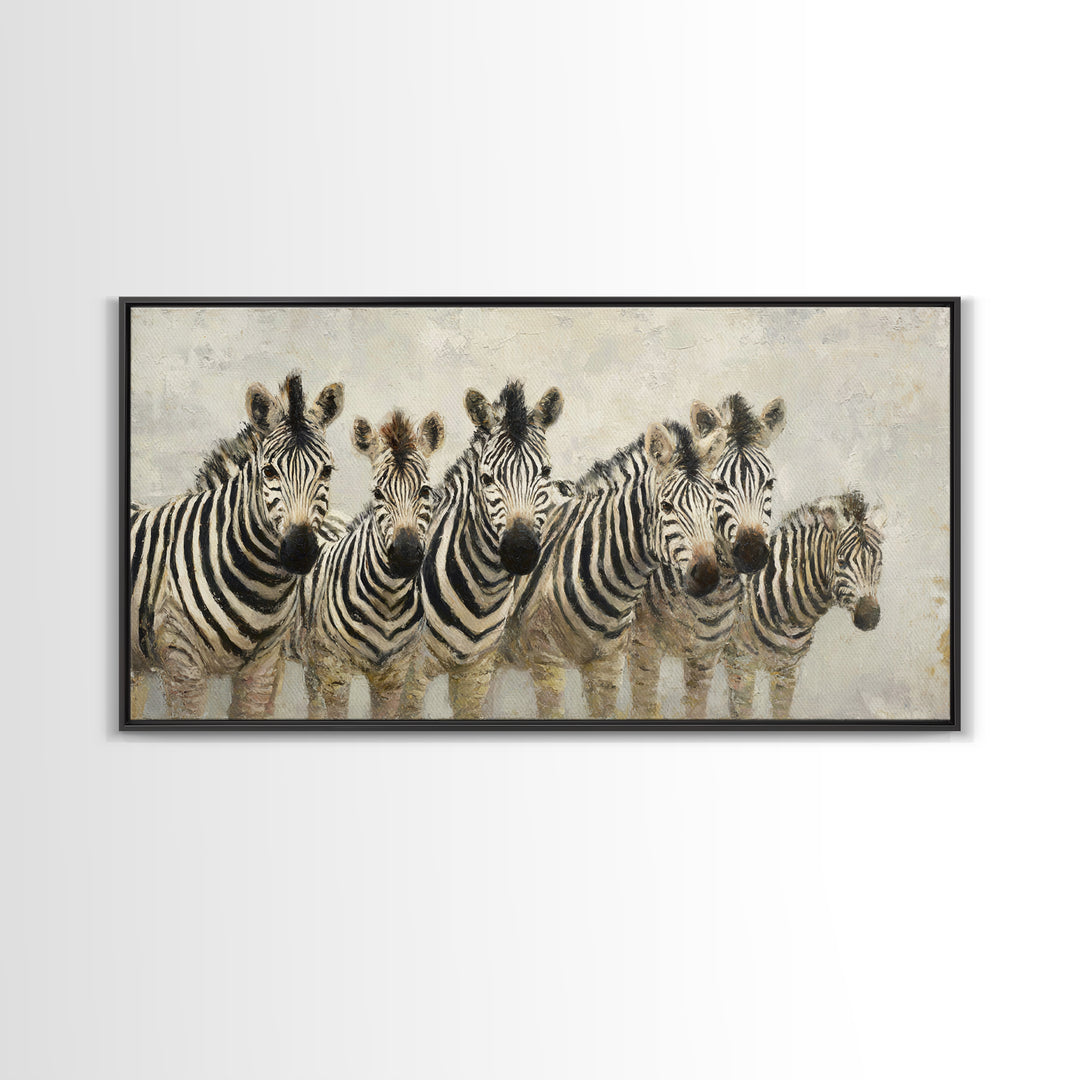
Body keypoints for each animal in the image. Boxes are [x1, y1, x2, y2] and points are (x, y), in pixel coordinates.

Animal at [128, 373, 344, 719]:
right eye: (268, 471)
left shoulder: (263, 665)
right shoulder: (181, 663)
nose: (299, 552)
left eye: (326, 471)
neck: (261, 586)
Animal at [295, 409, 445, 720]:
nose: (405, 555)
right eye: (377, 493)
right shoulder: (334, 670)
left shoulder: (394, 673)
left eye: (425, 491)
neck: (389, 601)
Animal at [398, 379, 565, 720]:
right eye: (487, 478)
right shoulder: (412, 671)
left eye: (545, 473)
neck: (482, 593)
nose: (520, 550)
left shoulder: (477, 672)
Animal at [627, 393, 787, 719]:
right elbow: (643, 707)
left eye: (770, 483)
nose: (752, 553)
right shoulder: (643, 648)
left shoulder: (706, 656)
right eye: (719, 485)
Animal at [722, 490, 884, 719]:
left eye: (878, 564)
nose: (869, 617)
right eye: (841, 562)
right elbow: (741, 712)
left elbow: (781, 712)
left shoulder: (787, 669)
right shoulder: (740, 663)